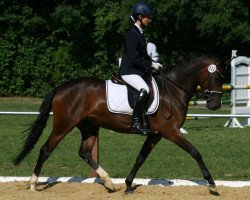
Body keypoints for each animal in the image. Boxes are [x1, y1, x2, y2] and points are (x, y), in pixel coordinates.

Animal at [13, 54, 225, 195]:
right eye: (216, 77)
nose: (215, 105)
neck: (173, 91)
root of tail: (61, 87)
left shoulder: (155, 134)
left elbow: (140, 158)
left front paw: (129, 185)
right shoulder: (171, 131)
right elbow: (195, 152)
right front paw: (211, 184)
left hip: (89, 127)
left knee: (85, 152)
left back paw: (109, 183)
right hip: (63, 125)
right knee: (45, 149)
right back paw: (33, 184)